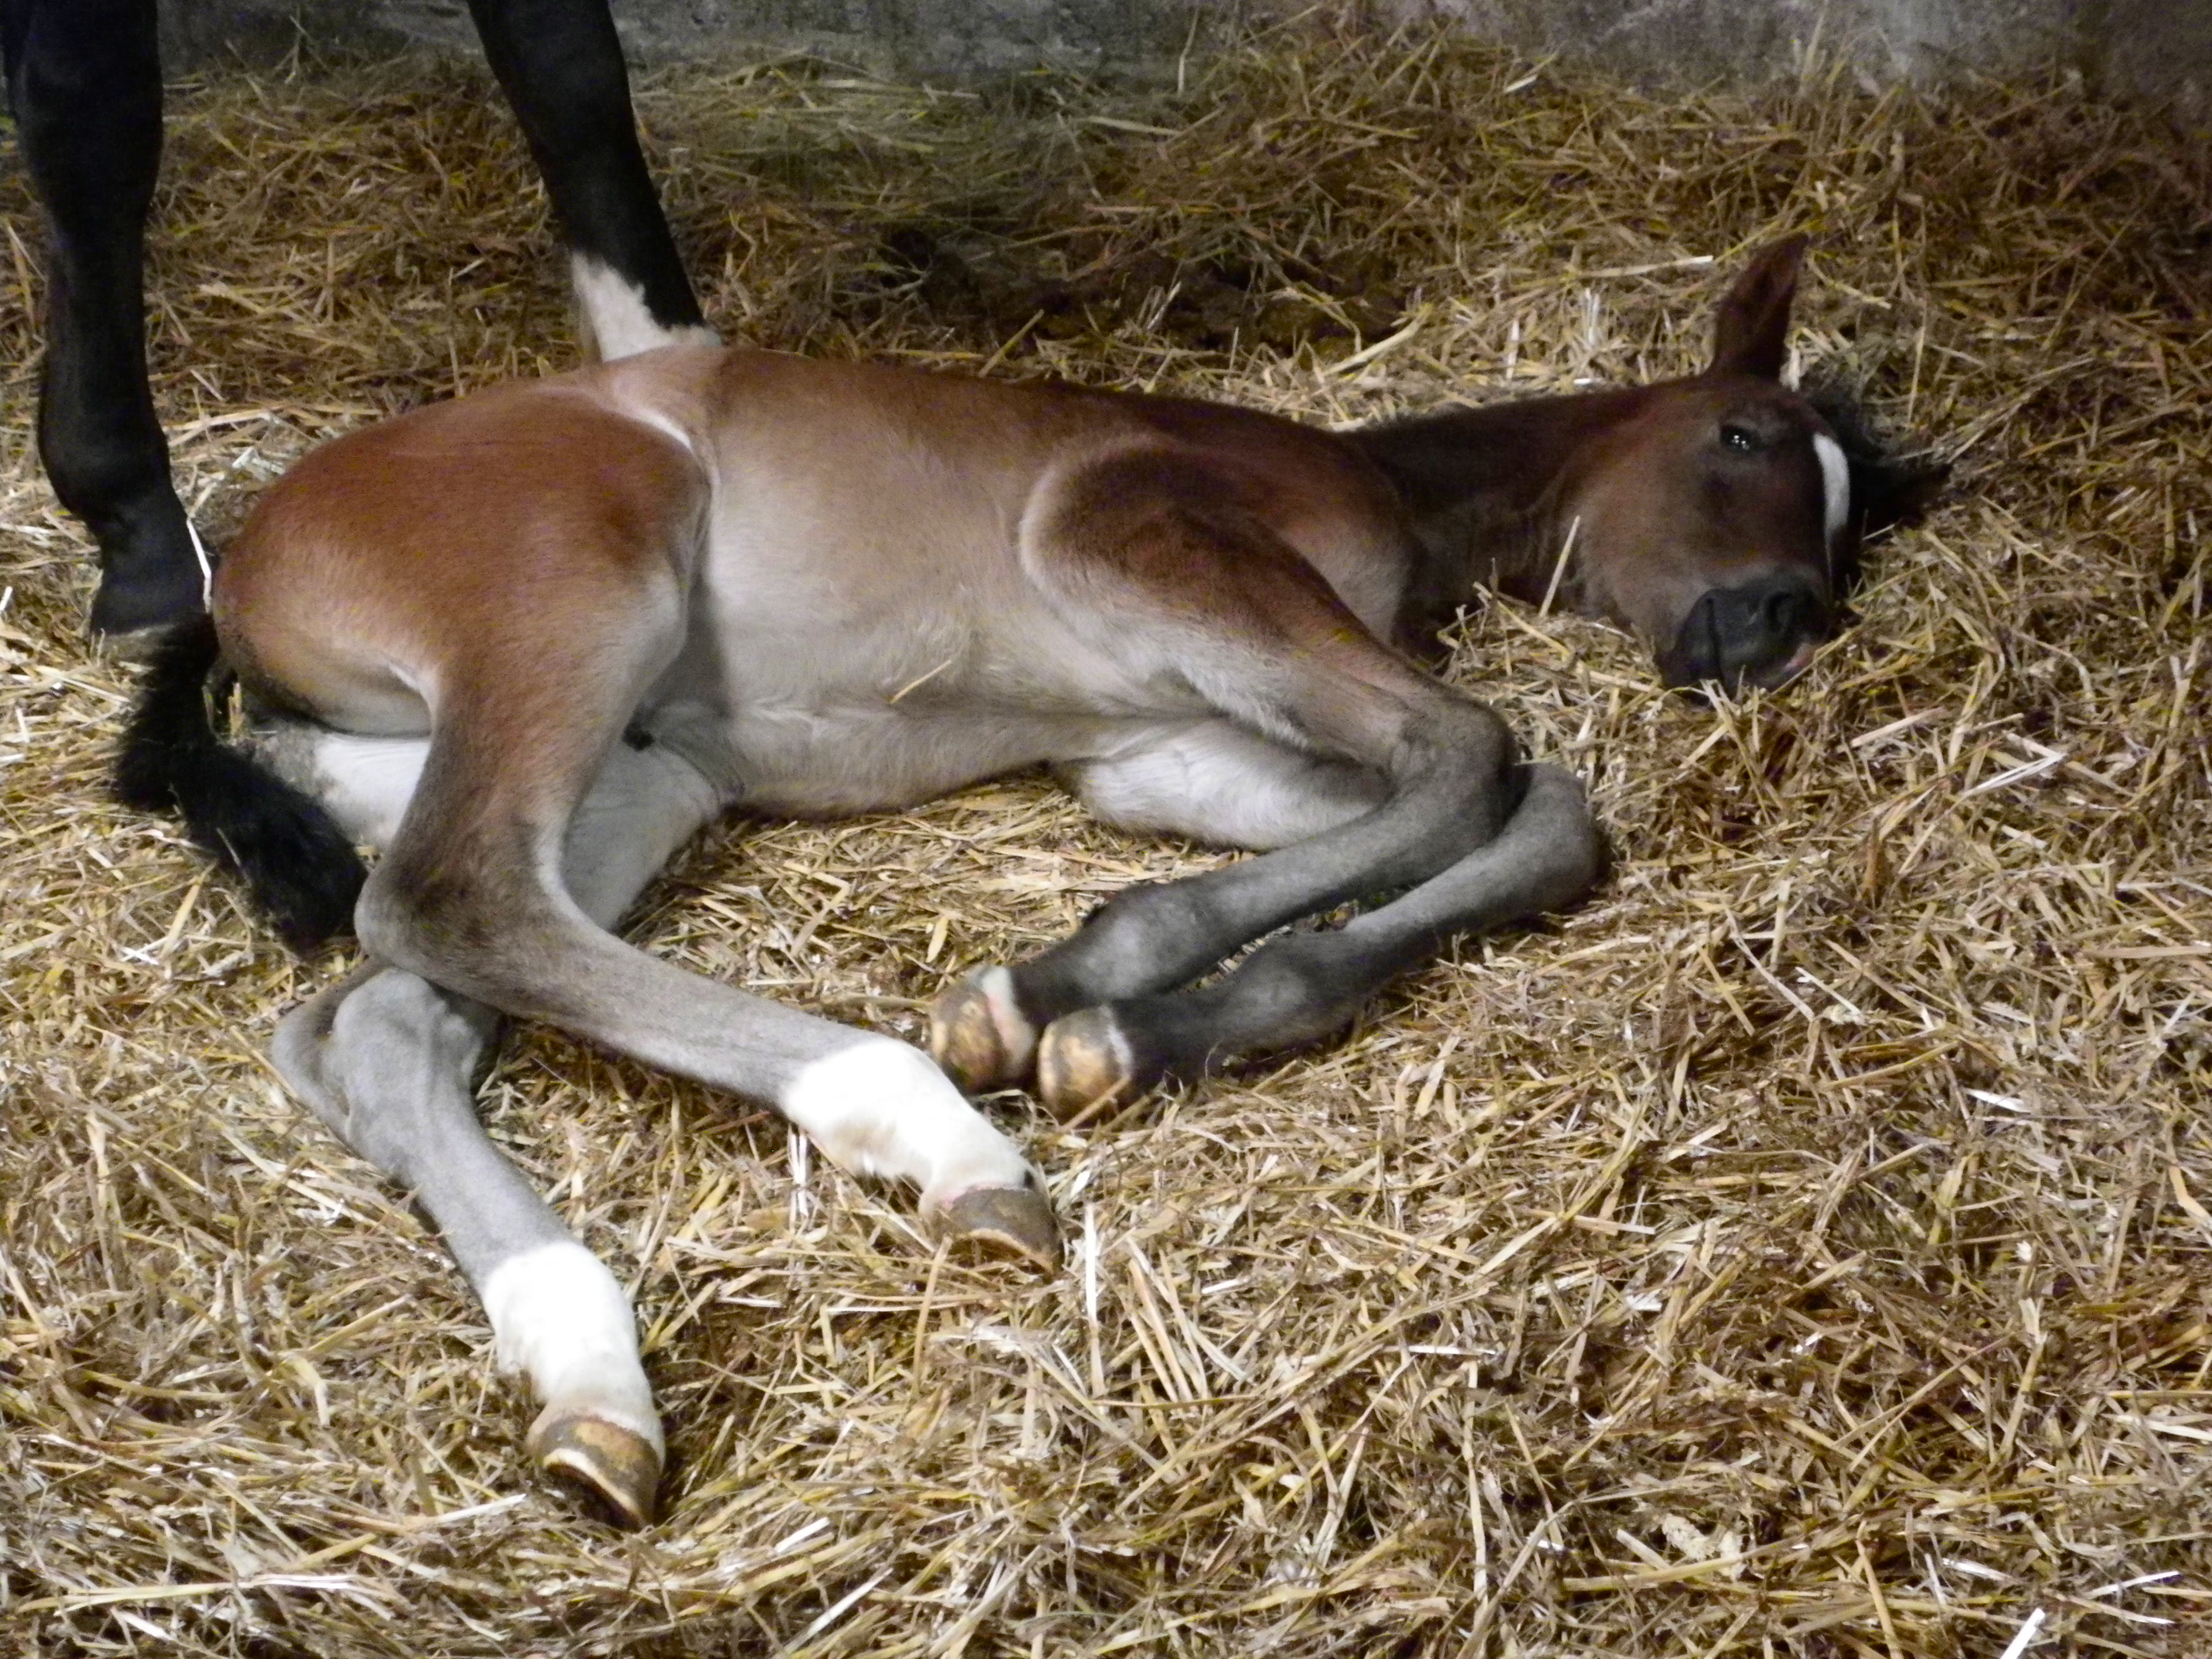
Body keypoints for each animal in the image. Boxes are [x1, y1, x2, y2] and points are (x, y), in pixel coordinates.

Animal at [115, 235, 1937, 1526]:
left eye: (1848, 533)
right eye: (1742, 433)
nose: (1777, 621)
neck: (1387, 492)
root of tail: (244, 570)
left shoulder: (1161, 750)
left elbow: (1530, 804)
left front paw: (1135, 1010)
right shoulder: (1143, 547)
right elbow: (1477, 748)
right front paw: (1065, 994)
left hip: (648, 764)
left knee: (386, 1016)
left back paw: (588, 1382)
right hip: (580, 575)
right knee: (448, 892)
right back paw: (929, 1133)